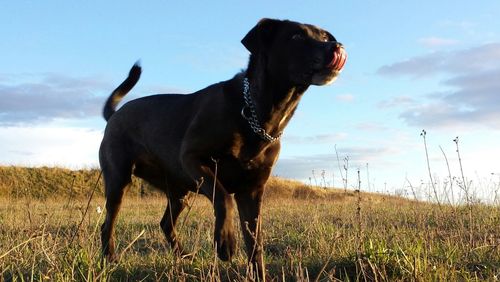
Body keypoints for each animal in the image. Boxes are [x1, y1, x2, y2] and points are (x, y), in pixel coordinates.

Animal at [99, 18, 346, 278]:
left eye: (324, 36)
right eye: (296, 37)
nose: (336, 47)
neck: (257, 114)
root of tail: (114, 115)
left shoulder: (252, 192)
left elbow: (255, 242)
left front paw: (258, 274)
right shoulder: (193, 158)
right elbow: (223, 196)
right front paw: (226, 242)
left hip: (179, 192)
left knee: (166, 223)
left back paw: (183, 256)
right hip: (118, 180)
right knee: (108, 224)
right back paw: (110, 259)